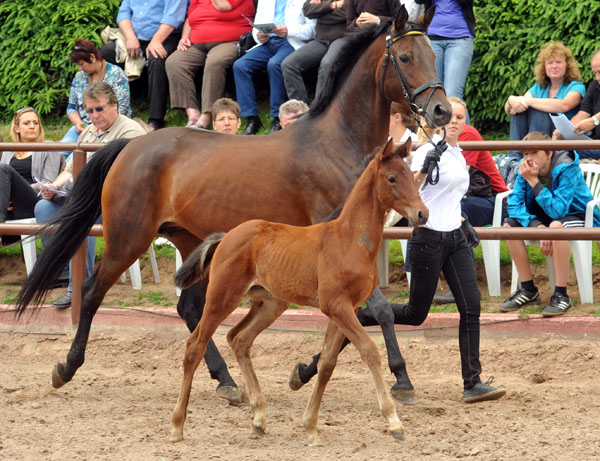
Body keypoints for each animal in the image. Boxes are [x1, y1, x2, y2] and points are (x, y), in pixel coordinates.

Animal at [14, 6, 450, 402]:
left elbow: (357, 316)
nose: (442, 109)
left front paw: (303, 372)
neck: (337, 145)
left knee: (188, 308)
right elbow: (376, 310)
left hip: (192, 242)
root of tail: (131, 146)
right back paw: (66, 368)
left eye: (434, 54)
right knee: (91, 292)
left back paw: (224, 379)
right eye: (406, 57)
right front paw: (401, 378)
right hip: (128, 237)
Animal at [171, 138, 428, 444]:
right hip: (222, 296)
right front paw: (394, 422)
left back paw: (258, 419)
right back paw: (177, 426)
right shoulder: (336, 305)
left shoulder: (347, 308)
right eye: (391, 178)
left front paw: (310, 425)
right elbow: (368, 350)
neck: (350, 240)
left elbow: (328, 362)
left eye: (412, 175)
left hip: (270, 303)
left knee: (239, 339)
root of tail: (225, 236)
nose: (422, 214)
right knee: (194, 345)